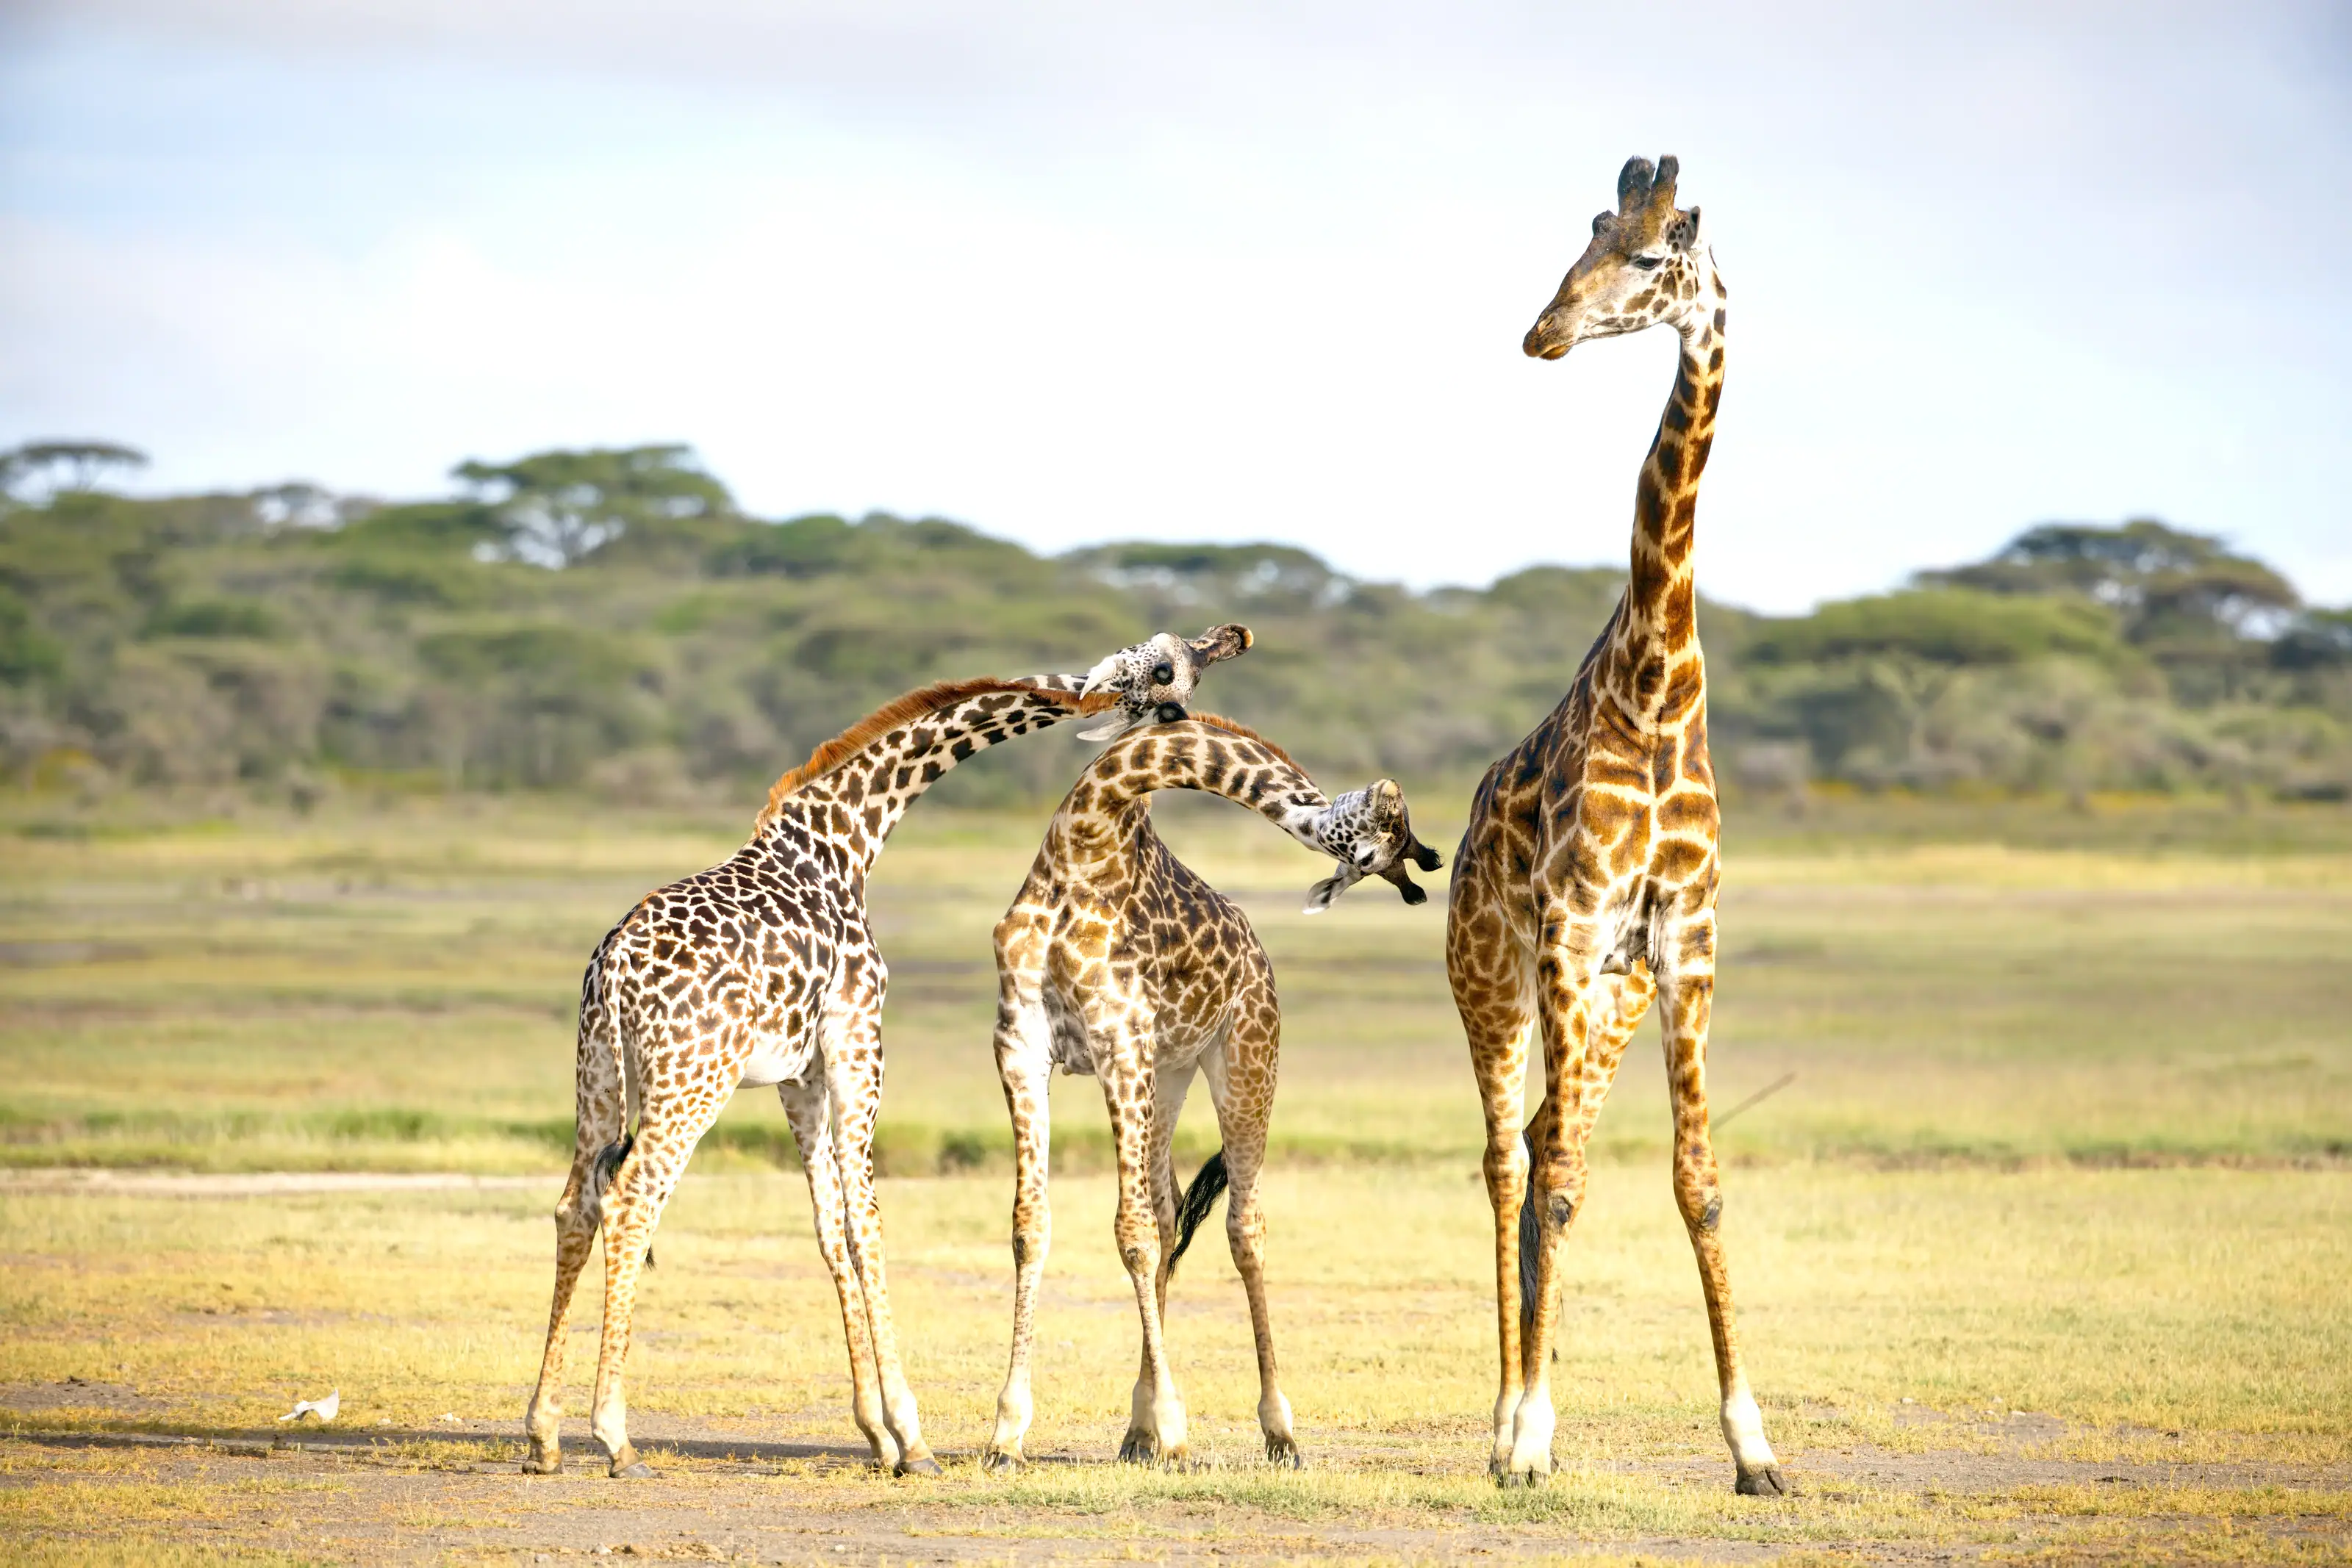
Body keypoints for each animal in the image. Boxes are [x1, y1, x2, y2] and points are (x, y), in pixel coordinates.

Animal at [520, 625, 1252, 1481]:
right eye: (1168, 665)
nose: (1229, 638)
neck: (847, 838)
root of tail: (615, 970)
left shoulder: (800, 1074)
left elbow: (832, 1227)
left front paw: (876, 1431)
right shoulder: (858, 1037)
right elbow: (868, 1221)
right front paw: (913, 1436)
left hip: (598, 1076)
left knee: (576, 1203)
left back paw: (542, 1433)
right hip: (691, 1080)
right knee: (633, 1201)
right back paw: (615, 1436)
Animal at [980, 714, 1442, 1472]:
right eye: (1390, 831)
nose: (1421, 869)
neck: (1086, 837)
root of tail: (1259, 953)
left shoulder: (1119, 1040)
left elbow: (1131, 1232)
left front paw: (1175, 1426)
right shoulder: (1021, 1044)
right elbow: (1032, 1224)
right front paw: (1006, 1434)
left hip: (1247, 1058)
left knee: (1242, 1227)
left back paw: (1276, 1431)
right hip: (1168, 1075)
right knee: (1171, 1213)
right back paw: (1137, 1433)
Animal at [1443, 155, 1787, 1494]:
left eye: (1649, 258)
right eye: (1584, 239)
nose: (1542, 330)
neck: (1656, 682)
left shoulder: (1682, 944)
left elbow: (1698, 1181)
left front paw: (1755, 1444)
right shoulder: (1572, 927)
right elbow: (1565, 1182)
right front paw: (1532, 1435)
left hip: (1613, 994)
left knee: (1548, 1141)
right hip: (1496, 977)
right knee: (1510, 1158)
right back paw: (1502, 1417)